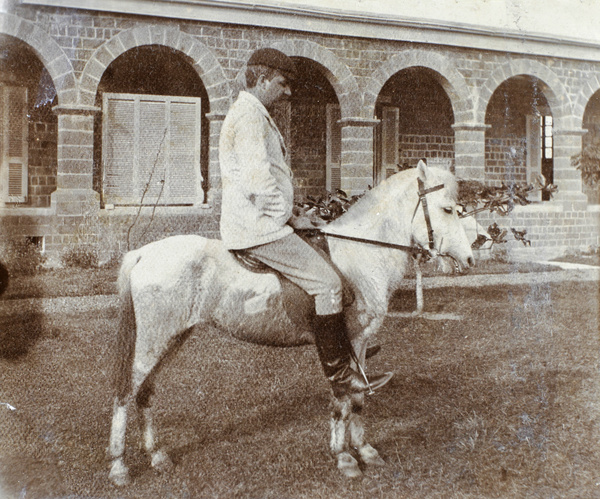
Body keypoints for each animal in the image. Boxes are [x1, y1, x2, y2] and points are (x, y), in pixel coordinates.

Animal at [108, 160, 474, 484]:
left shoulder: (359, 345)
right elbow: (343, 399)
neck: (361, 254)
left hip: (171, 338)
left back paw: (157, 456)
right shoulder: (349, 342)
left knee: (145, 392)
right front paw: (344, 458)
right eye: (446, 210)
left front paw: (365, 450)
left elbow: (357, 400)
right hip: (154, 340)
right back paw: (119, 467)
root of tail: (143, 253)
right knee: (126, 392)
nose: (470, 259)